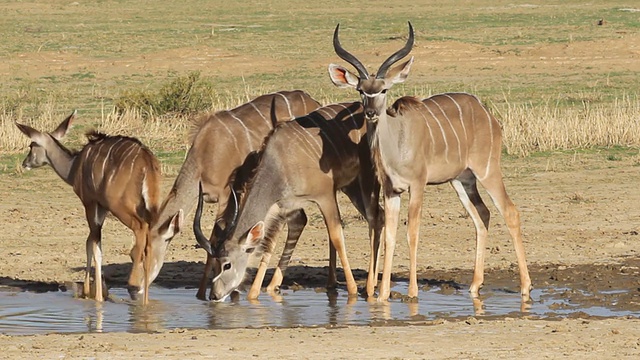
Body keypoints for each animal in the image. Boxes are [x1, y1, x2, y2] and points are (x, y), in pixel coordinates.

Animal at [16, 111, 172, 306]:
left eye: (32, 145)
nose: (25, 163)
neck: (75, 165)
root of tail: (147, 161)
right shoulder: (101, 207)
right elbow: (91, 242)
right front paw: (91, 291)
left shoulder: (89, 202)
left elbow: (94, 245)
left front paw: (96, 296)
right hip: (150, 206)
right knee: (149, 238)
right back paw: (145, 301)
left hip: (120, 206)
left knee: (140, 229)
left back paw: (133, 285)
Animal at [147, 90, 322, 300]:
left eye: (146, 252)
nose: (136, 284)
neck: (205, 153)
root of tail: (313, 101)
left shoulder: (227, 195)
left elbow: (216, 237)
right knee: (297, 220)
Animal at [192, 101, 382, 300]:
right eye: (214, 264)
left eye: (227, 264)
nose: (214, 295)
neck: (280, 162)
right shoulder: (284, 206)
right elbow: (270, 244)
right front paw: (255, 294)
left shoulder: (326, 196)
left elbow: (337, 236)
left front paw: (352, 291)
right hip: (351, 187)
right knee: (381, 216)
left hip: (367, 181)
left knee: (375, 219)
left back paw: (370, 287)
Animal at [328, 23, 532, 300]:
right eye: (361, 90)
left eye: (383, 89)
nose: (370, 112)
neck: (396, 142)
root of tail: (487, 114)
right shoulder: (391, 190)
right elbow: (390, 234)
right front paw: (381, 295)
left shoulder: (417, 185)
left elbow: (411, 232)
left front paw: (412, 292)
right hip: (461, 180)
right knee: (482, 215)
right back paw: (474, 285)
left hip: (487, 170)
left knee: (509, 211)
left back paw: (525, 287)